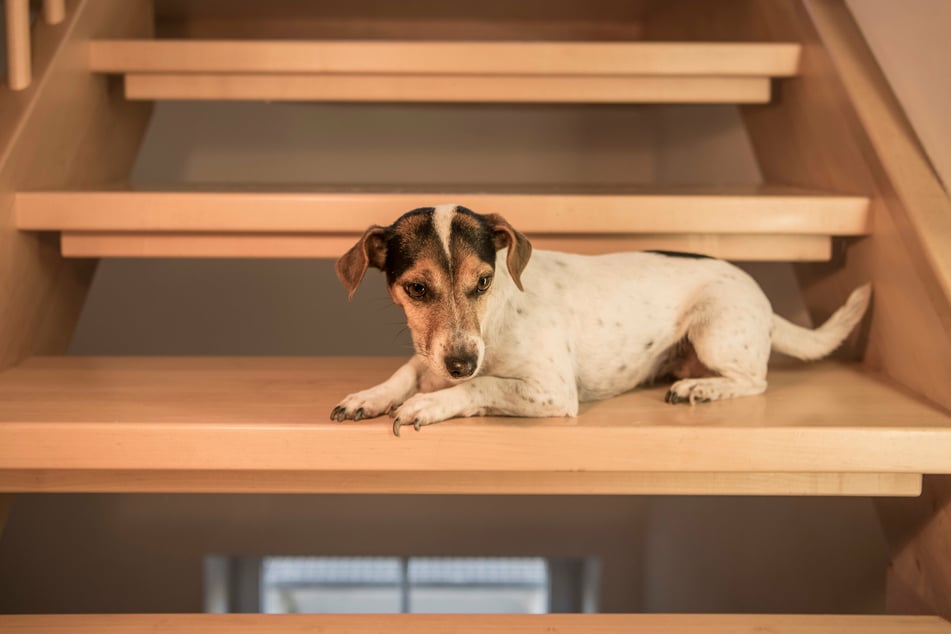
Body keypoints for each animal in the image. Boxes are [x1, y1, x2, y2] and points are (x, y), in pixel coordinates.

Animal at [330, 202, 872, 434]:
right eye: (416, 289)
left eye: (483, 281)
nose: (461, 363)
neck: (497, 319)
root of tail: (765, 303)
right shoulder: (434, 352)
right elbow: (407, 372)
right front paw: (369, 396)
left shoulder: (550, 390)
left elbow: (479, 387)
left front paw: (426, 404)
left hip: (715, 329)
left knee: (754, 380)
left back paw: (702, 387)